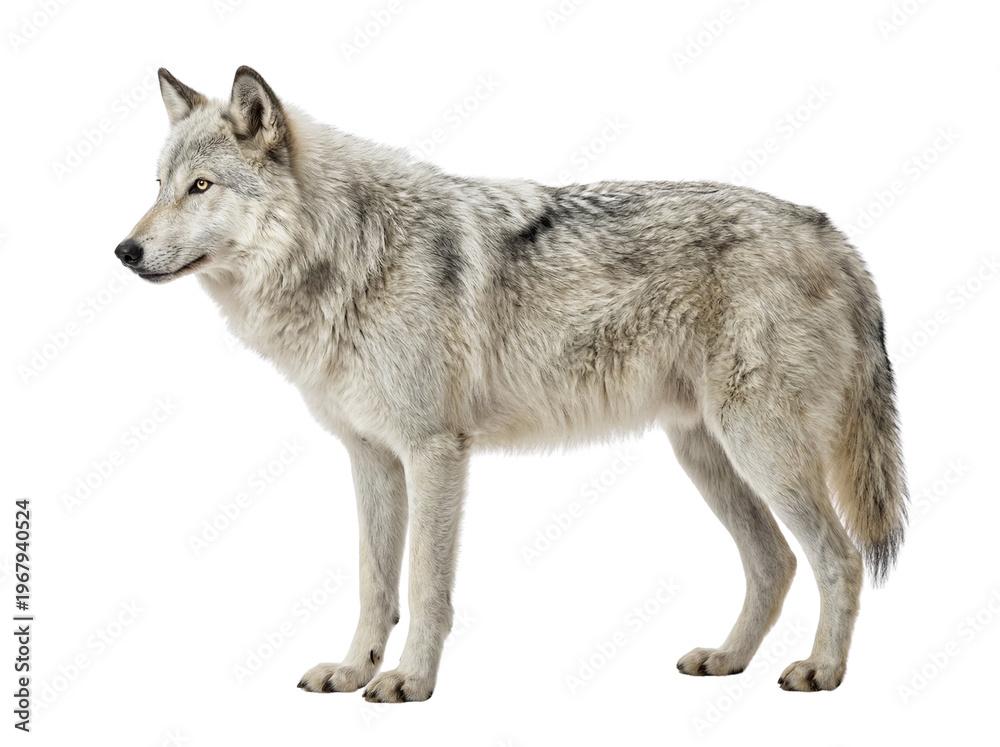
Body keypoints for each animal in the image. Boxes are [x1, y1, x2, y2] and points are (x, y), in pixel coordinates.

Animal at [115, 66, 908, 700]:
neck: (349, 253)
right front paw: (352, 670)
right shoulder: (371, 457)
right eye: (157, 186)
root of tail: (837, 236)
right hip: (706, 455)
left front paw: (409, 681)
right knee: (774, 562)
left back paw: (822, 670)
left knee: (837, 558)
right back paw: (727, 659)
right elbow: (375, 583)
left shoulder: (435, 451)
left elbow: (424, 585)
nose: (125, 250)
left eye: (201, 187)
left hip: (761, 451)